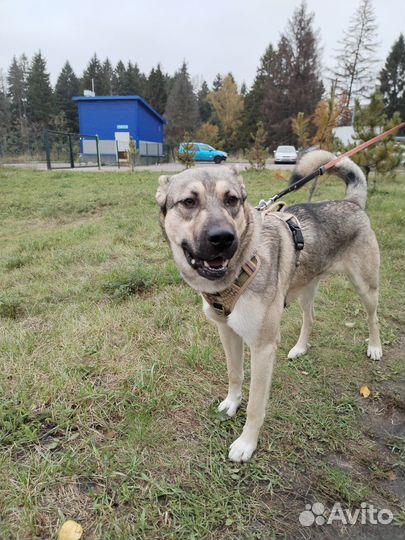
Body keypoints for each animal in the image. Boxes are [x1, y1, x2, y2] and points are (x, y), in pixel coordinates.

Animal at [155, 152, 382, 464]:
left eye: (232, 200)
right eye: (189, 202)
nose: (223, 238)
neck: (242, 265)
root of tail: (352, 203)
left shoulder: (262, 348)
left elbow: (255, 405)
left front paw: (246, 443)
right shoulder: (227, 331)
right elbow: (234, 374)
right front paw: (231, 402)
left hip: (365, 287)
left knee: (373, 317)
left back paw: (375, 347)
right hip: (306, 286)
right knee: (310, 317)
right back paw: (300, 348)